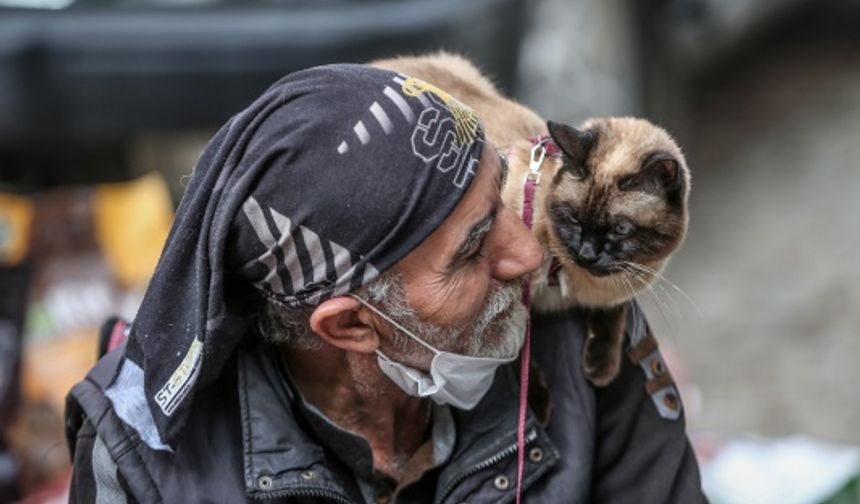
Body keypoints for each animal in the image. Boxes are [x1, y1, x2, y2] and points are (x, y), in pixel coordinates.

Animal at [372, 53, 688, 386]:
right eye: (574, 220)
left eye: (620, 229)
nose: (587, 254)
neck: (568, 284)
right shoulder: (509, 302)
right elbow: (516, 351)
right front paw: (540, 395)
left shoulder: (616, 292)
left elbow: (611, 317)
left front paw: (600, 370)